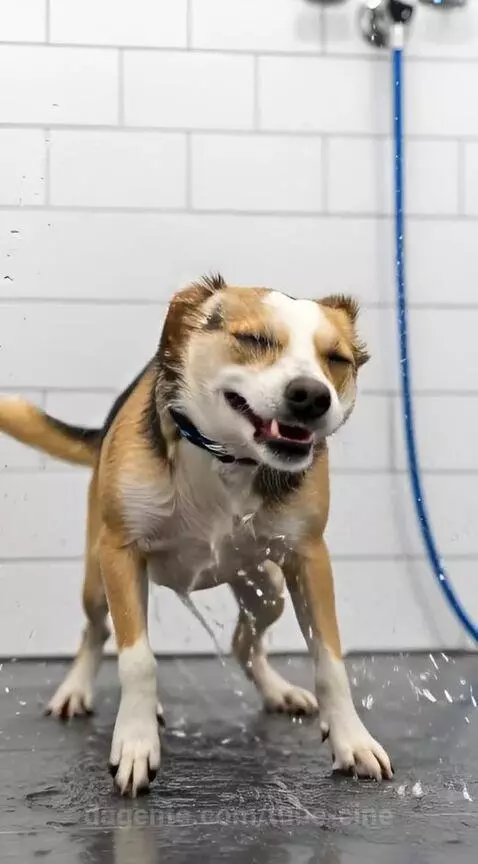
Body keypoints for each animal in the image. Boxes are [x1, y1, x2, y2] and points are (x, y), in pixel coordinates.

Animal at [0, 276, 392, 795]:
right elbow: (138, 660)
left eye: (337, 359)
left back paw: (278, 691)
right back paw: (76, 691)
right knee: (98, 630)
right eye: (254, 340)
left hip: (265, 587)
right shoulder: (121, 554)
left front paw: (352, 739)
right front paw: (136, 742)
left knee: (244, 643)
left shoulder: (309, 559)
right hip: (99, 580)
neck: (227, 457)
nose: (312, 396)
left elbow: (330, 661)